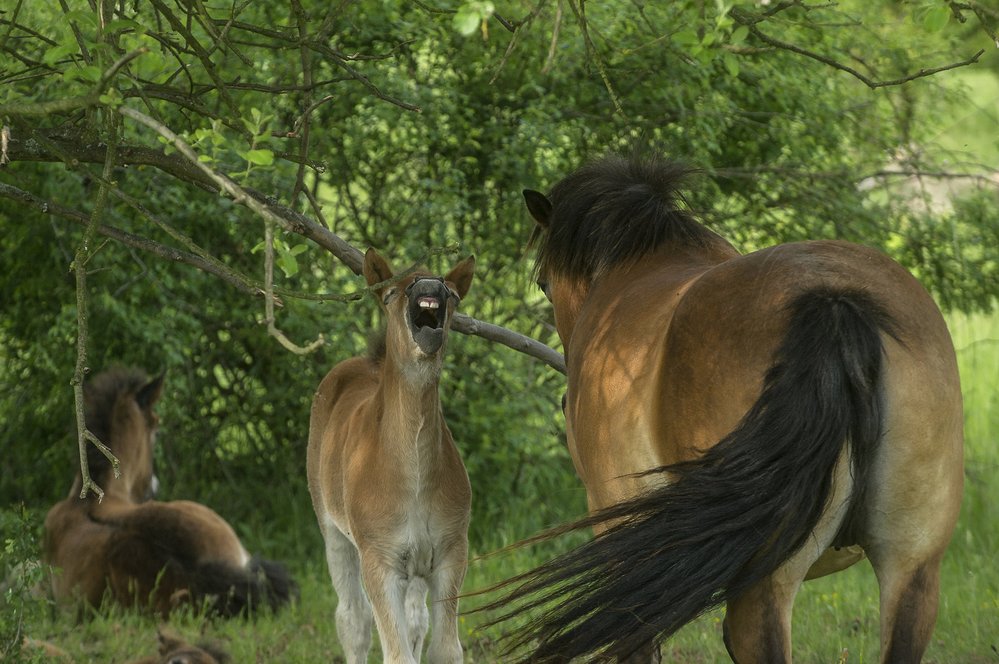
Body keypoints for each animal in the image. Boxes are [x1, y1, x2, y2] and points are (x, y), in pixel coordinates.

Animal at [306, 249, 474, 664]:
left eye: (452, 294)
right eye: (391, 293)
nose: (429, 286)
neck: (412, 476)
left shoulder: (450, 555)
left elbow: (444, 650)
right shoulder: (379, 564)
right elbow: (396, 654)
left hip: (416, 565)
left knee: (416, 620)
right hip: (333, 531)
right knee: (353, 619)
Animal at [488, 152, 964, 664]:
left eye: (543, 285)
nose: (563, 402)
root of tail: (834, 303)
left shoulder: (615, 524)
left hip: (763, 585)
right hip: (913, 569)